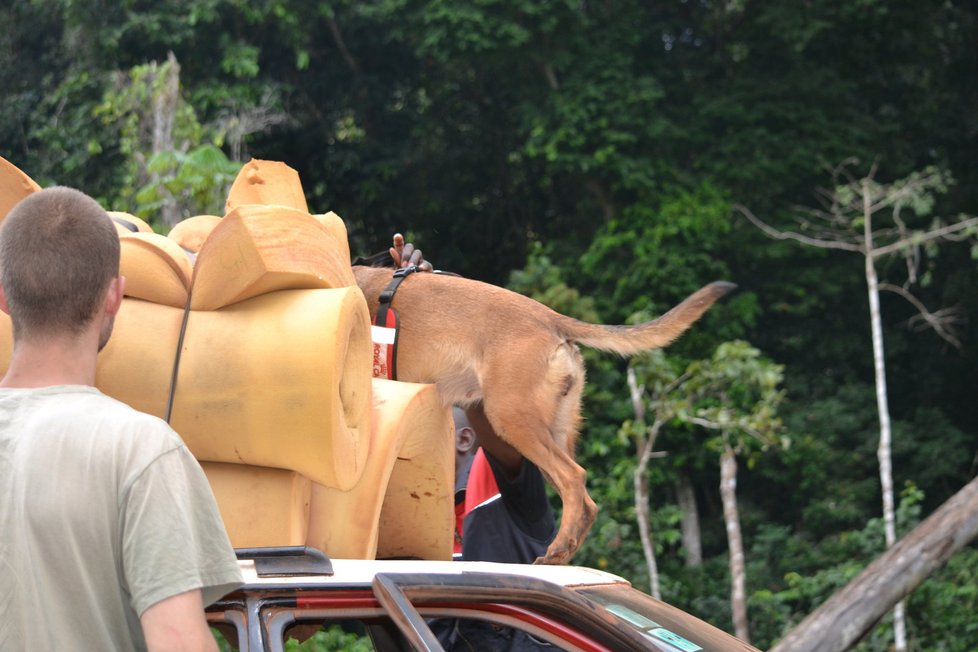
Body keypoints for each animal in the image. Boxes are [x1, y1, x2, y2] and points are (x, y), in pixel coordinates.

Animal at [352, 266, 732, 564]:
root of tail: (549, 318)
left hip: (513, 420)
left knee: (574, 477)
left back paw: (558, 549)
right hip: (552, 430)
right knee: (586, 499)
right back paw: (561, 555)